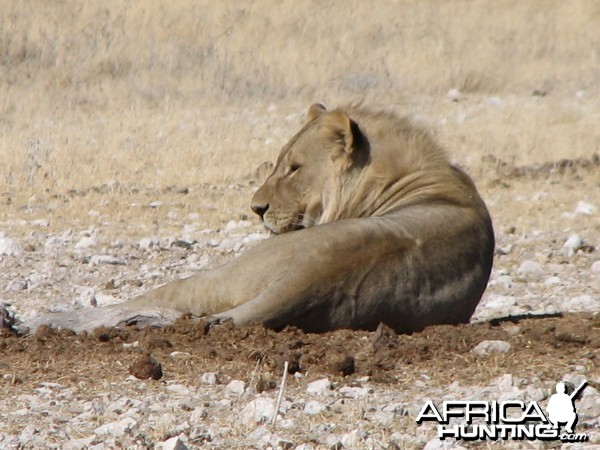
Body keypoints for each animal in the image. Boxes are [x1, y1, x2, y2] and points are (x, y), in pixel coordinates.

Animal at [18, 103, 496, 334]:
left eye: (294, 168)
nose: (255, 208)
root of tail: (311, 277)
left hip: (228, 270)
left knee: (156, 299)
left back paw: (43, 320)